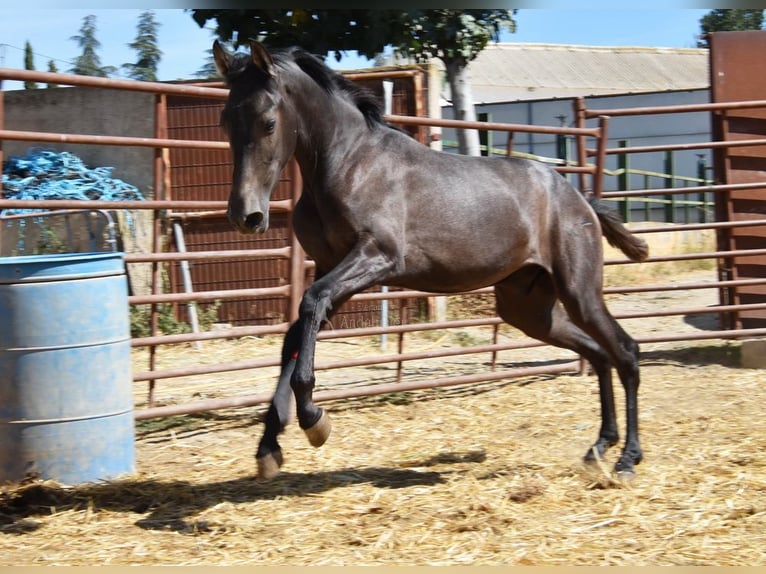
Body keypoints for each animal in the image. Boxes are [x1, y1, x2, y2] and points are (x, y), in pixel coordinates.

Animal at [213, 40, 652, 482]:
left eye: (269, 122)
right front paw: (269, 448)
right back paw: (598, 447)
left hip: (579, 292)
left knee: (626, 351)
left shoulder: (377, 257)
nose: (245, 215)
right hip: (527, 308)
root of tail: (580, 198)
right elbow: (297, 332)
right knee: (598, 353)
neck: (350, 163)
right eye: (225, 122)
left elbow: (310, 305)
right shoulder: (331, 266)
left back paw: (627, 458)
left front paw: (314, 420)